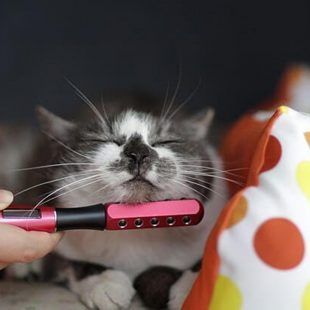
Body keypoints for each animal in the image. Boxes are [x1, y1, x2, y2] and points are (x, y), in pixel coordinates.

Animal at [1, 95, 228, 308]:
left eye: (167, 142)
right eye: (103, 140)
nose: (138, 153)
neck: (135, 236)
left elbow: (207, 259)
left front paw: (191, 289)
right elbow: (69, 262)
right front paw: (105, 283)